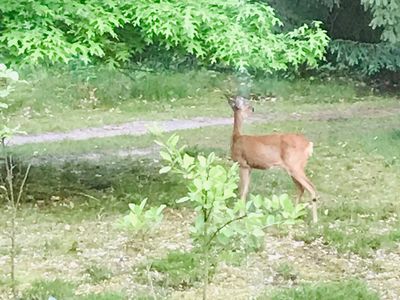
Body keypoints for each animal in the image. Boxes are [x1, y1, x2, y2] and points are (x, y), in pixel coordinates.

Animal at [228, 95, 318, 223]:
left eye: (245, 102)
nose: (253, 108)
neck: (237, 138)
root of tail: (309, 144)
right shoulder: (250, 167)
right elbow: (246, 190)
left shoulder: (243, 164)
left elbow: (242, 191)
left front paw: (239, 215)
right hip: (293, 168)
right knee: (301, 188)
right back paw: (292, 215)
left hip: (295, 165)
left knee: (311, 187)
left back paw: (314, 220)